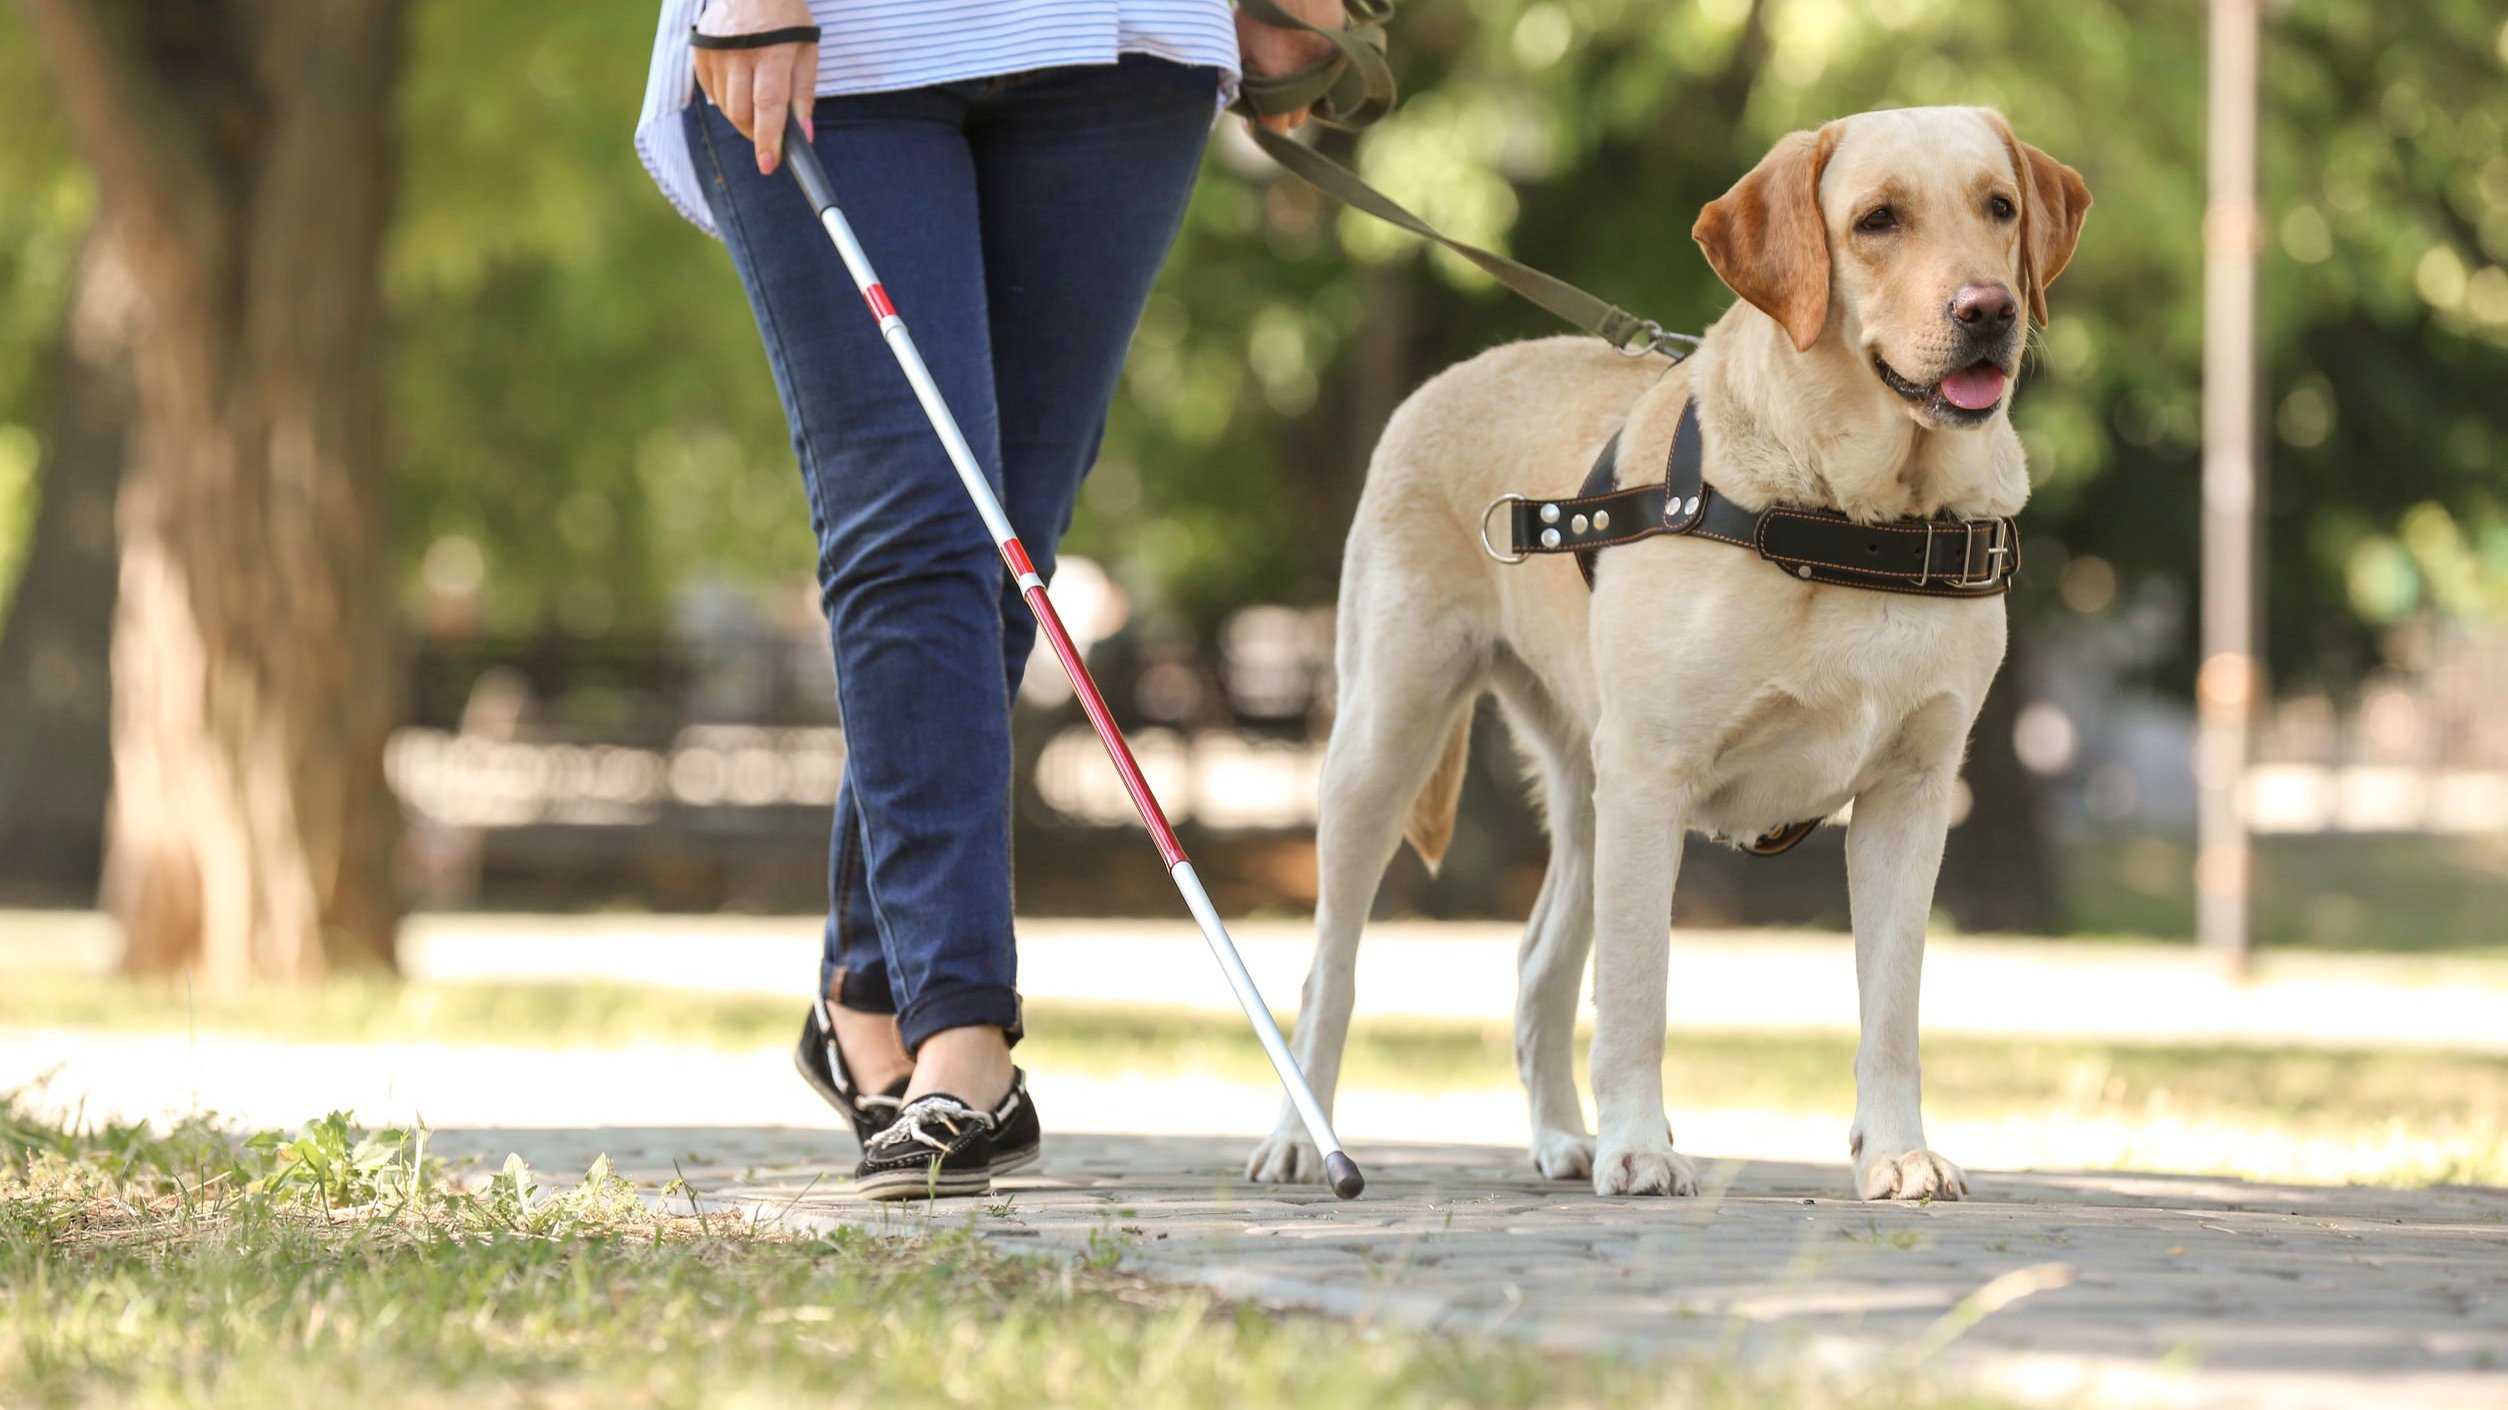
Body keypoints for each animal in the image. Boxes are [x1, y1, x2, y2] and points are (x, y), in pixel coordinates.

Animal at [1254, 104, 2096, 1189]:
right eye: (1877, 220)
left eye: (1999, 207)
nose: (1989, 308)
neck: (1854, 522)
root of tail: (1453, 374)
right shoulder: (1654, 774)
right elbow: (1638, 988)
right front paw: (1641, 1148)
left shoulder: (1912, 793)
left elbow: (1892, 1005)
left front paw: (1897, 1153)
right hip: (1388, 739)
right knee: (1331, 970)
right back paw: (1300, 1140)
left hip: (1585, 790)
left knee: (1536, 964)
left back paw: (1561, 1140)